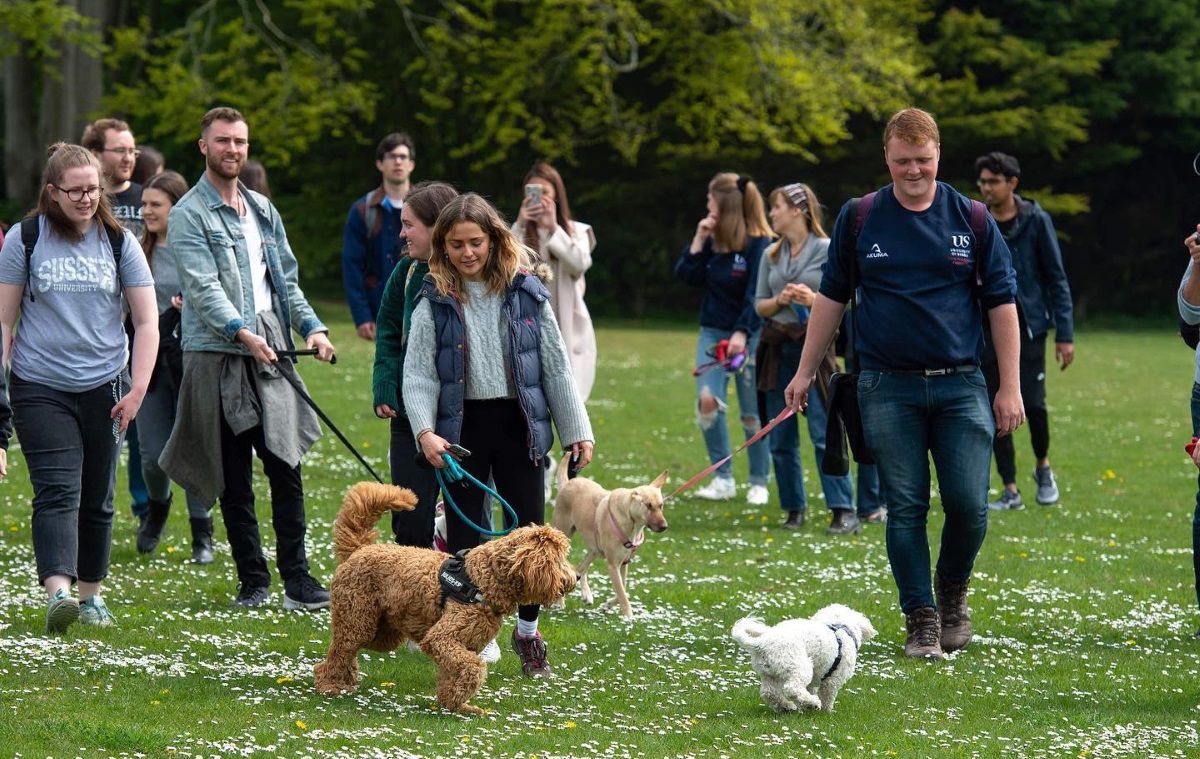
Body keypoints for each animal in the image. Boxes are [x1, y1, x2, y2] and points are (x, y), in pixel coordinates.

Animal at [314, 482, 576, 715]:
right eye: (557, 559)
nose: (572, 579)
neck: (483, 577)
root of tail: (359, 549)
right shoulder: (442, 638)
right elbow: (473, 667)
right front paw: (458, 699)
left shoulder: (462, 645)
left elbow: (452, 673)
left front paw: (455, 704)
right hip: (358, 619)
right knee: (339, 651)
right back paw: (329, 684)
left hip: (381, 631)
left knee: (345, 650)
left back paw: (345, 680)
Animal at [549, 453, 667, 619]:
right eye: (648, 505)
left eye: (660, 505)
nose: (664, 527)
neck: (630, 519)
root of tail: (567, 483)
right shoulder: (613, 566)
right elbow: (622, 594)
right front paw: (629, 618)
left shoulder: (624, 563)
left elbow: (623, 589)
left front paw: (607, 605)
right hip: (563, 537)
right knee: (563, 567)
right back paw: (560, 602)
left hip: (595, 548)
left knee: (579, 568)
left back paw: (586, 594)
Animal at [724, 605, 878, 710]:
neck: (840, 627)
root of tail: (762, 643)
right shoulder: (833, 680)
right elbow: (827, 696)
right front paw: (826, 711)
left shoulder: (813, 683)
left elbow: (810, 689)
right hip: (799, 666)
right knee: (792, 688)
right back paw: (812, 703)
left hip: (769, 674)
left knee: (769, 693)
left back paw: (787, 706)